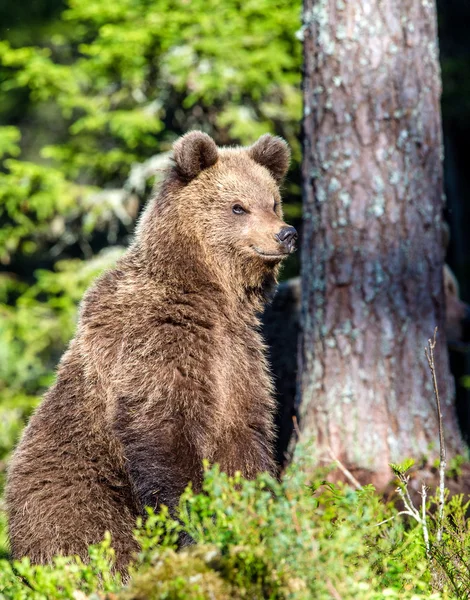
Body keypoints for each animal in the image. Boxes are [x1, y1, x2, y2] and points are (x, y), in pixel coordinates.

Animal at [4, 131, 298, 572]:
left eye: (273, 201)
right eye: (237, 206)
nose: (286, 233)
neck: (209, 295)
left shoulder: (238, 358)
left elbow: (245, 439)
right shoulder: (154, 345)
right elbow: (164, 432)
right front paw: (193, 524)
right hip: (76, 488)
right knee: (87, 537)